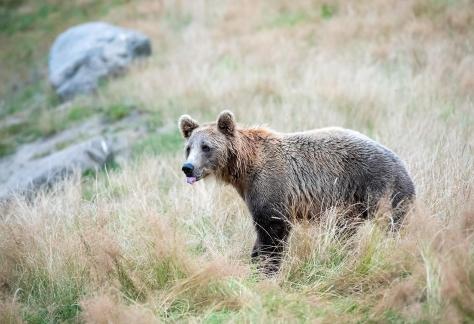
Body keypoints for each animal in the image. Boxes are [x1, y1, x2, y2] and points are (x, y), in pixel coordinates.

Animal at [178, 110, 414, 272]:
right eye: (189, 147)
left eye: (206, 147)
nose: (187, 167)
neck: (245, 169)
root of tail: (403, 165)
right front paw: (254, 262)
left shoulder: (272, 185)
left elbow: (272, 231)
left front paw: (267, 269)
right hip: (350, 205)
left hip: (380, 188)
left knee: (391, 224)